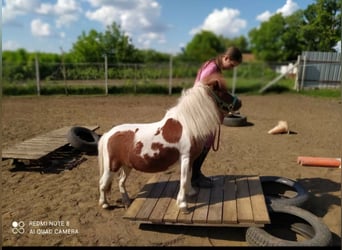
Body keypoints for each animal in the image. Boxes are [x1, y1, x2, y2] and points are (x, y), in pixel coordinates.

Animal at [97, 73, 242, 212]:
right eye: (223, 91)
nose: (239, 102)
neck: (187, 125)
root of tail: (108, 134)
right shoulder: (185, 158)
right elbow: (184, 179)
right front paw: (183, 205)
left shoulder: (190, 159)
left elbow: (189, 176)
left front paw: (191, 192)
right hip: (111, 167)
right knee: (103, 183)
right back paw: (104, 204)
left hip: (127, 165)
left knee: (121, 181)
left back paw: (126, 201)